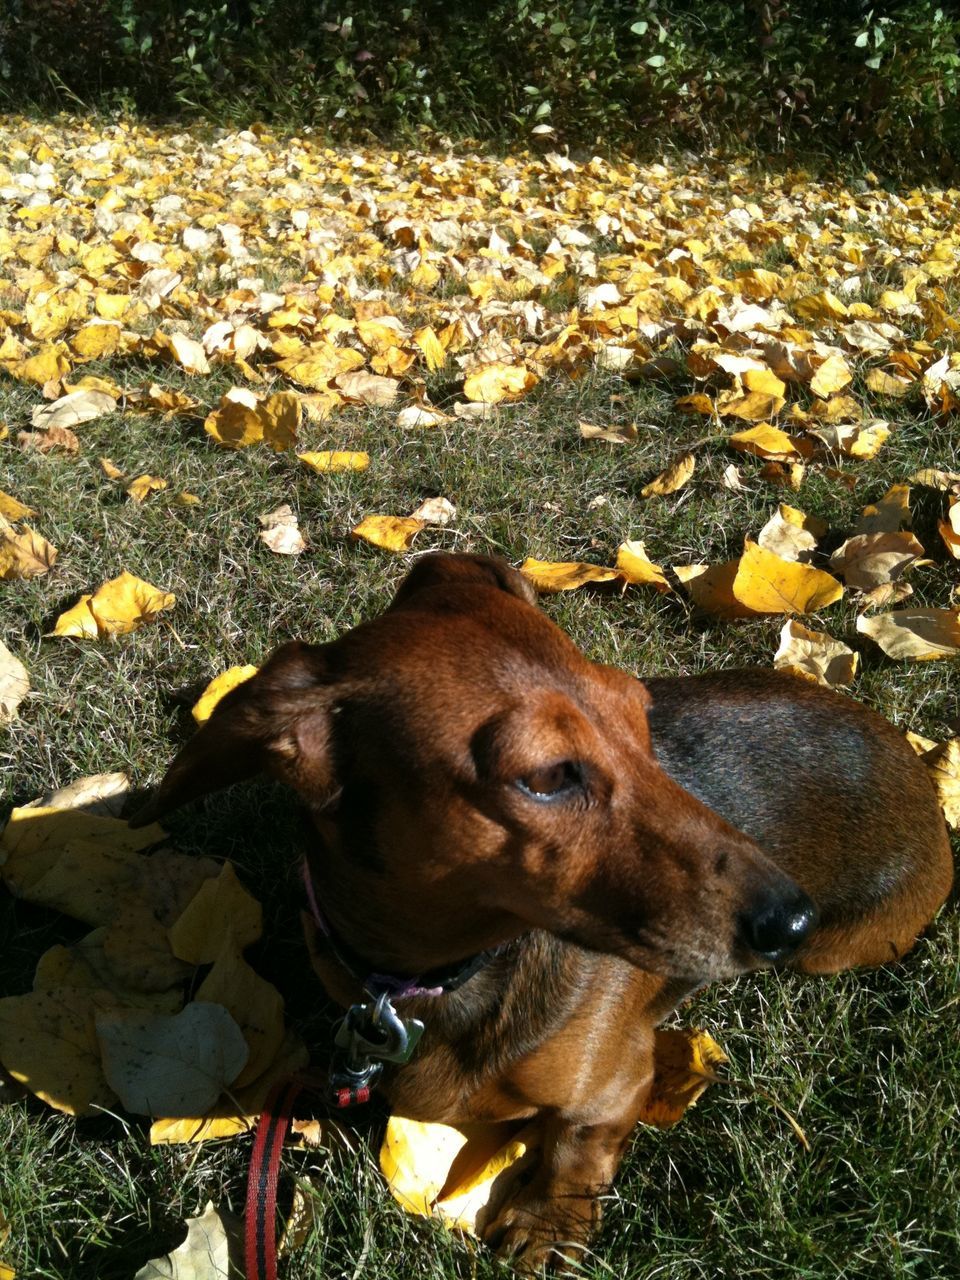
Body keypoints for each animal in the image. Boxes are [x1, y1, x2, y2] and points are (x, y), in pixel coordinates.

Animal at [133, 552, 957, 1269]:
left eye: (642, 717)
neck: (445, 977)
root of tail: (916, 764)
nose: (793, 920)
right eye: (549, 777)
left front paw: (548, 1225)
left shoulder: (623, 1080)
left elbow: (577, 1146)